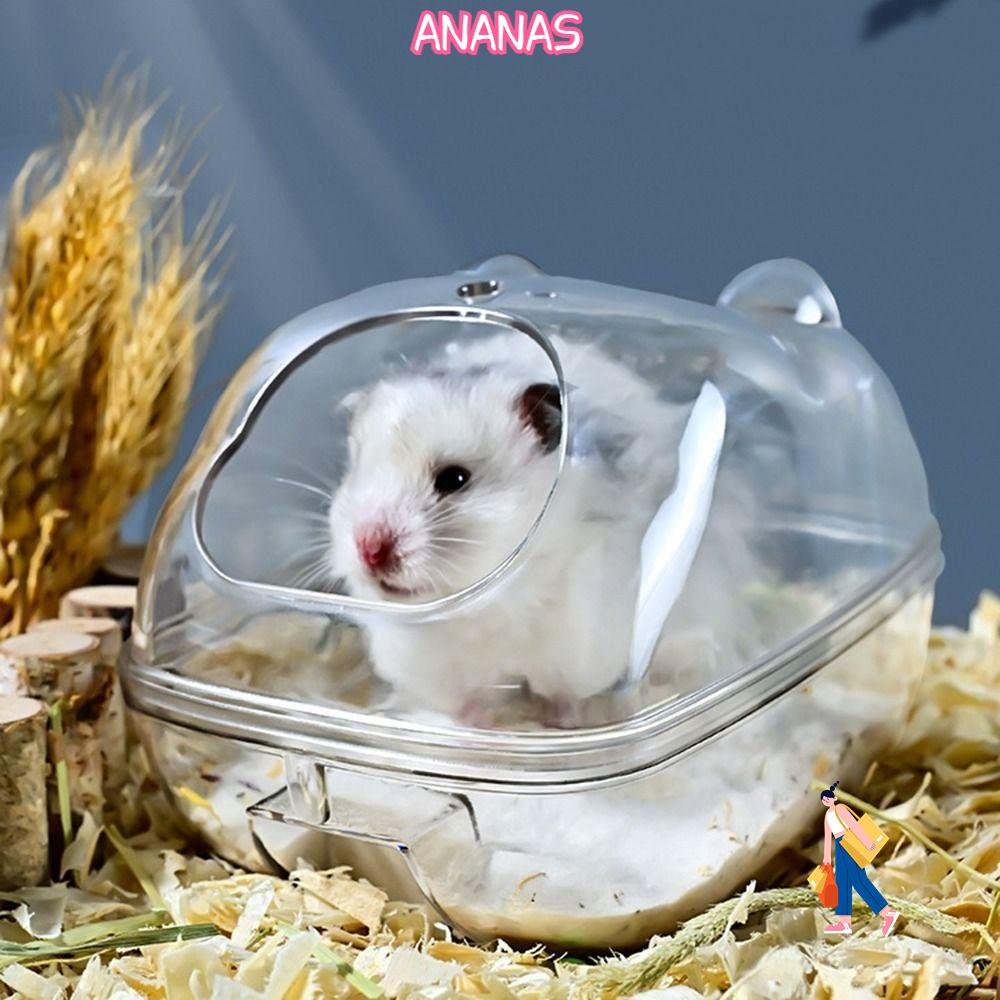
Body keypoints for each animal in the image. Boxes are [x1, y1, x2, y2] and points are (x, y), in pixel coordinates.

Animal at [328, 333, 739, 720]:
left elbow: (563, 692)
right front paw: (479, 728)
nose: (368, 549)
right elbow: (463, 703)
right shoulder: (435, 667)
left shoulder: (581, 642)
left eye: (454, 479)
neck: (488, 605)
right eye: (356, 471)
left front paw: (561, 722)